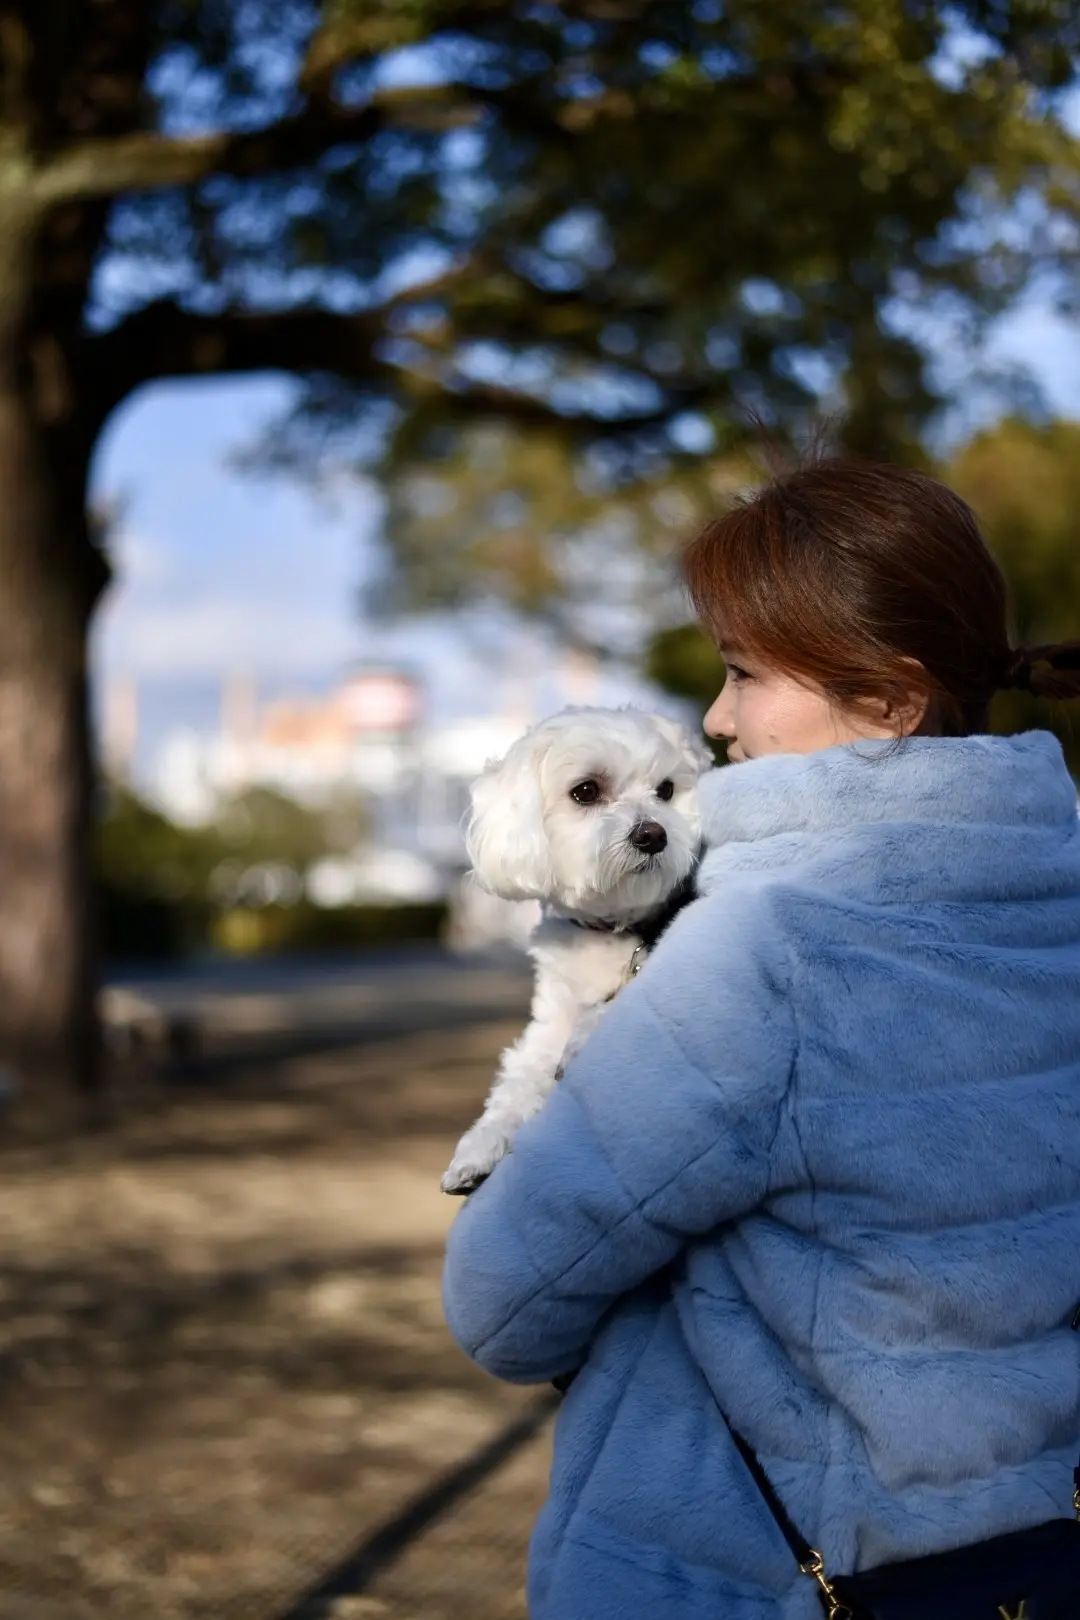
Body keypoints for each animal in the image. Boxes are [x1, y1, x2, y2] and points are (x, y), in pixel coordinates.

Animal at [443, 706, 712, 1192]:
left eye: (665, 790)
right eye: (585, 791)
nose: (653, 834)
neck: (611, 929)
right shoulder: (550, 1023)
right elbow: (519, 1081)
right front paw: (478, 1148)